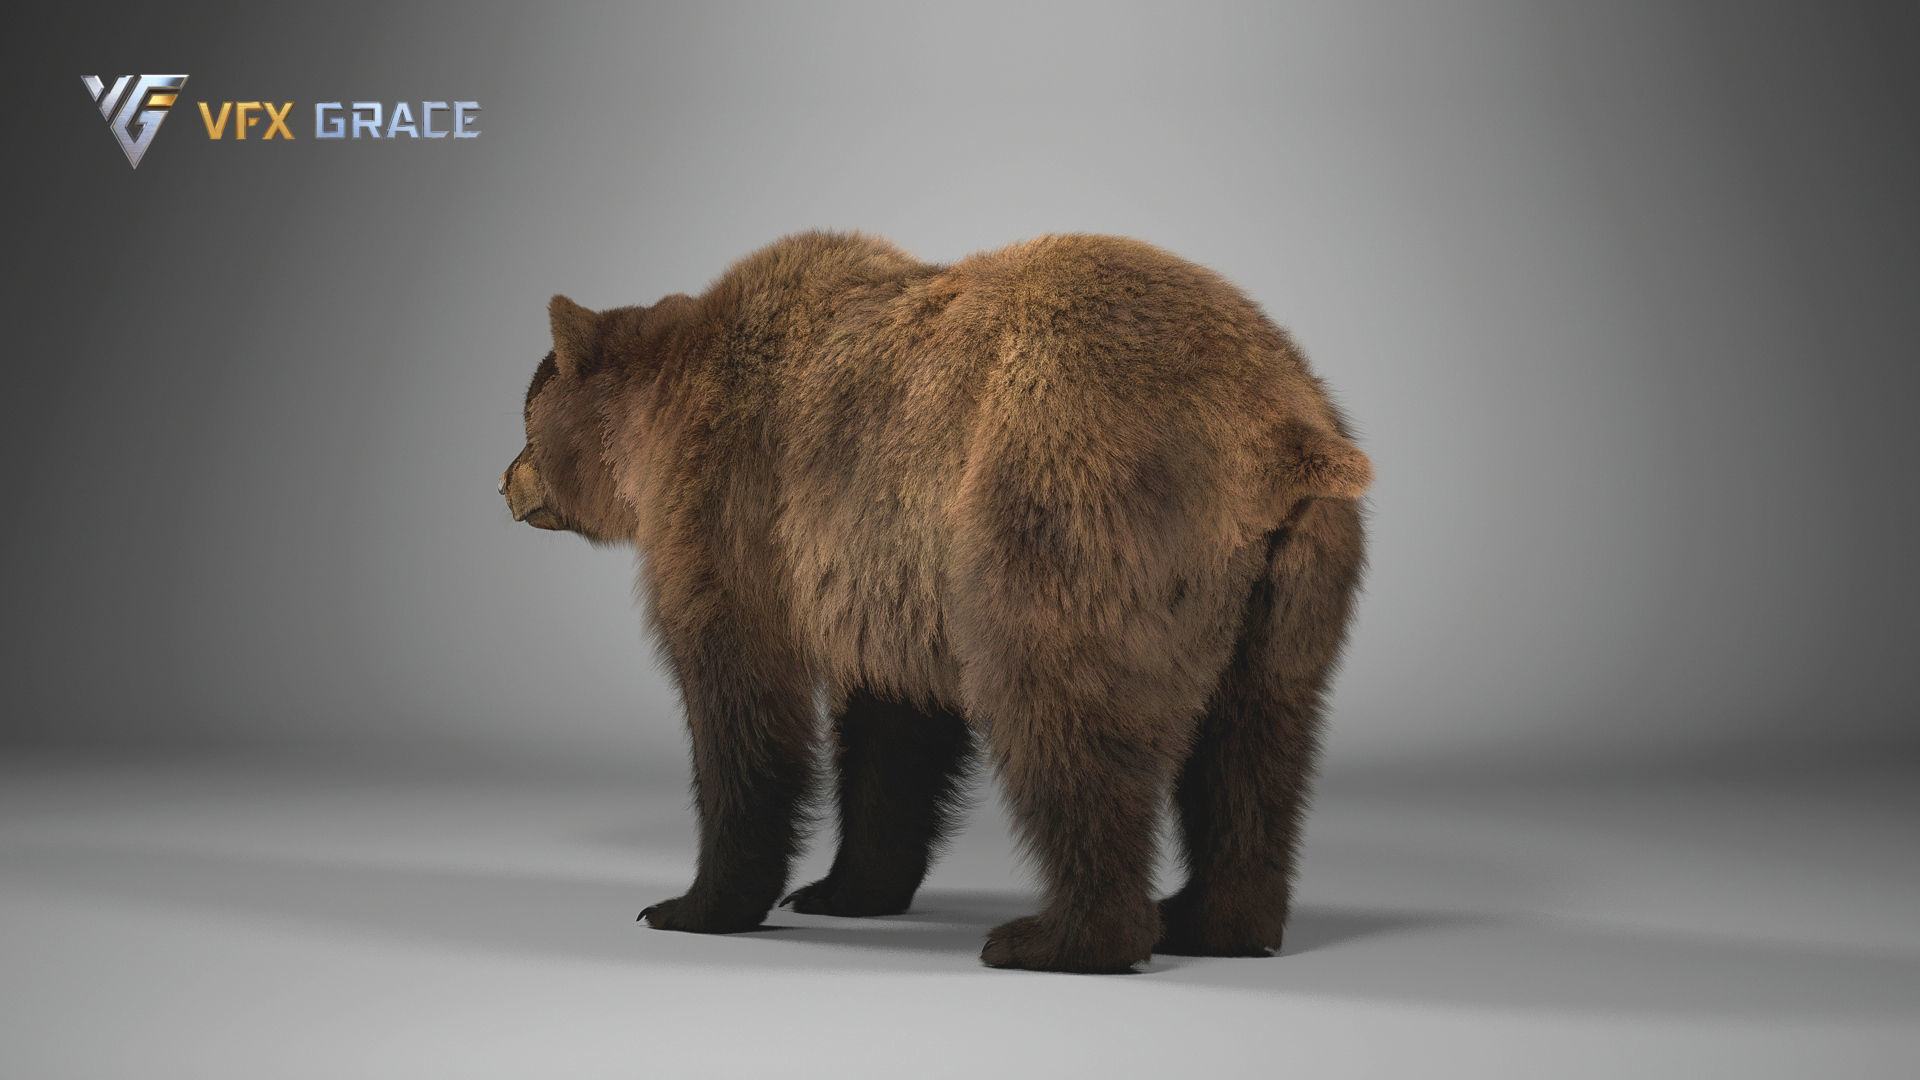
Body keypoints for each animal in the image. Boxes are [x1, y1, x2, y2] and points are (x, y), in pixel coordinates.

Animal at [500, 231, 1371, 973]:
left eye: (526, 415)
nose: (504, 481)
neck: (655, 422)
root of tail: (1278, 426)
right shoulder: (884, 573)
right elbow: (895, 728)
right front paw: (841, 889)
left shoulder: (734, 511)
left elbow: (742, 704)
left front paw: (692, 904)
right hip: (1290, 582)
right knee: (1256, 741)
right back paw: (1217, 921)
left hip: (1071, 507)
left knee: (1068, 722)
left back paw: (1058, 937)